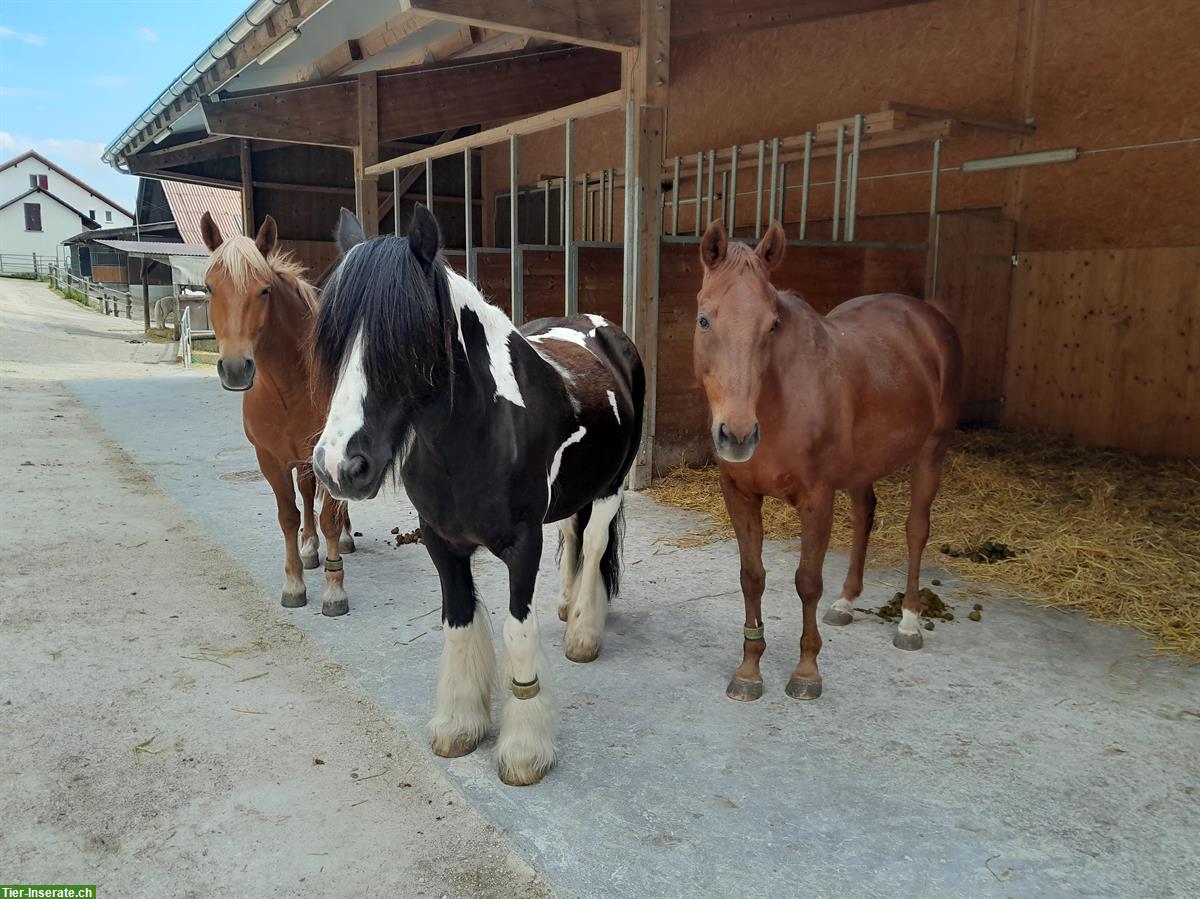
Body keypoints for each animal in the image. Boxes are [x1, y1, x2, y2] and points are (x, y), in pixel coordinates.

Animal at [196, 211, 352, 619]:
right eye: (209, 288)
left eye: (264, 290)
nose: (236, 369)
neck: (290, 384)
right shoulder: (268, 458)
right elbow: (288, 517)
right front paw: (295, 583)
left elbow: (330, 517)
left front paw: (335, 591)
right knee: (307, 494)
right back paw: (310, 547)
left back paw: (345, 538)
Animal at [314, 206, 643, 782]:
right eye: (334, 339)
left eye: (408, 338)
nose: (337, 466)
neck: (478, 435)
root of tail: (601, 329)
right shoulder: (441, 541)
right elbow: (459, 620)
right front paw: (459, 725)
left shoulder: (523, 545)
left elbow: (517, 632)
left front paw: (523, 750)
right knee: (576, 537)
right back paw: (568, 608)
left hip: (610, 488)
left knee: (597, 543)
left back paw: (583, 631)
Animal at [696, 217, 964, 700]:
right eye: (704, 319)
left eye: (772, 324)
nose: (738, 435)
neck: (779, 402)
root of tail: (929, 315)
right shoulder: (739, 495)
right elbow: (752, 576)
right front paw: (749, 669)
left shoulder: (817, 499)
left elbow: (806, 581)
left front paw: (806, 671)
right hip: (862, 468)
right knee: (864, 517)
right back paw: (846, 602)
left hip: (932, 452)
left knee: (916, 529)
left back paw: (910, 622)